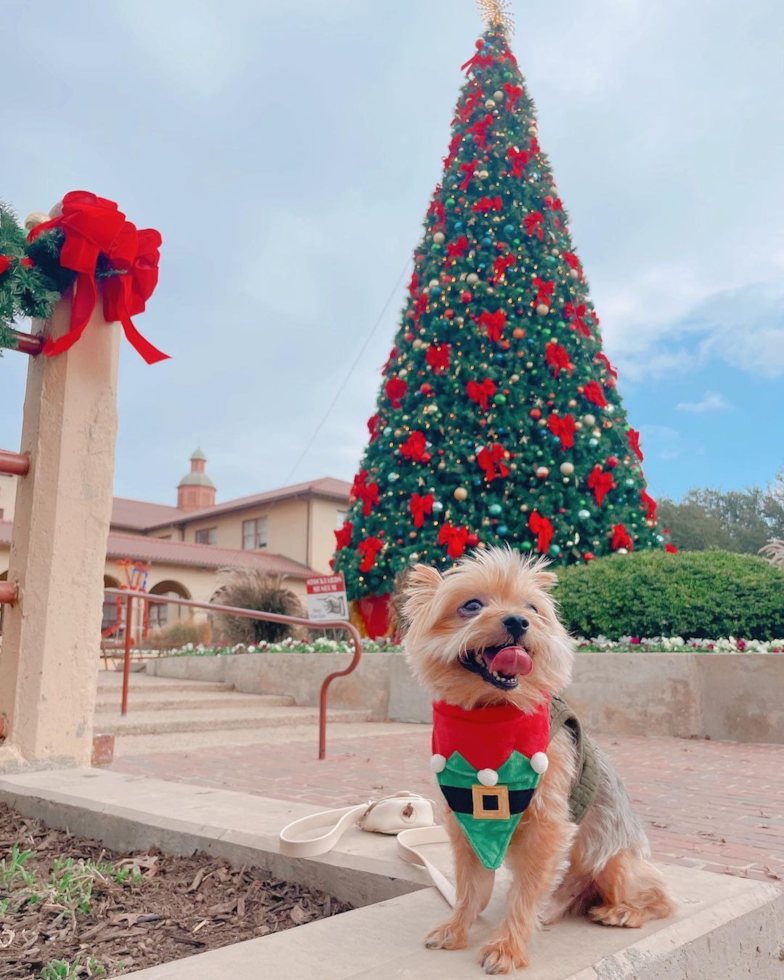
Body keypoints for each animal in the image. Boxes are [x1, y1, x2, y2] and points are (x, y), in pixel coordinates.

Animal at [404, 552, 672, 972]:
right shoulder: (465, 823)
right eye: (471, 605)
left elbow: (524, 893)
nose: (518, 621)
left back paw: (622, 911)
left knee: (660, 896)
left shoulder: (546, 825)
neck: (493, 714)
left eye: (532, 608)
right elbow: (469, 887)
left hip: (615, 862)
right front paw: (457, 927)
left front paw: (506, 947)